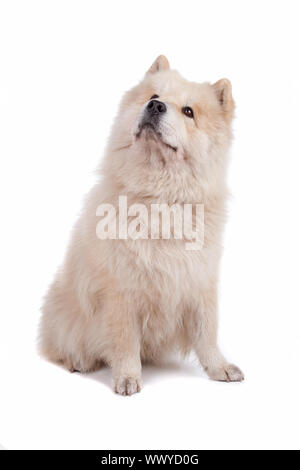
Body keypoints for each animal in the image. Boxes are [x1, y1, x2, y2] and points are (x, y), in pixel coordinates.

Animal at [39, 54, 244, 392]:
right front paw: (127, 377)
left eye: (189, 111)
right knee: (59, 345)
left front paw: (220, 368)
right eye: (154, 96)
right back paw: (77, 362)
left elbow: (207, 332)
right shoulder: (121, 290)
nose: (155, 106)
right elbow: (124, 340)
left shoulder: (199, 280)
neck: (160, 197)